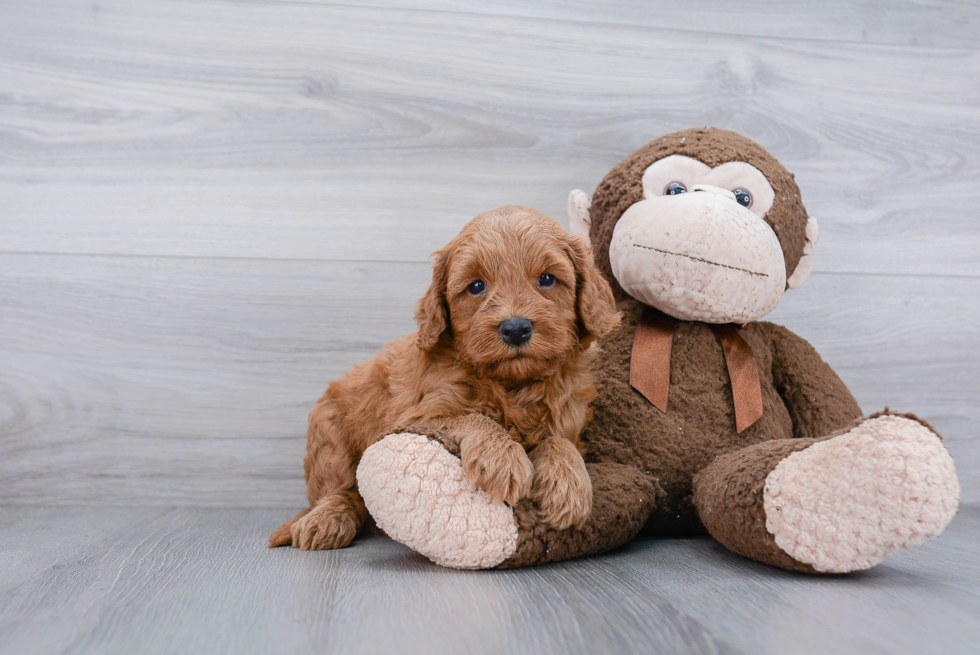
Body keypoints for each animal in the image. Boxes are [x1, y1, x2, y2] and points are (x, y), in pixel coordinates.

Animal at [268, 208, 620, 552]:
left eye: (546, 279)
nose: (516, 328)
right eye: (476, 286)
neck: (509, 384)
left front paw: (569, 487)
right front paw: (502, 460)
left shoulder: (569, 418)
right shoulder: (416, 417)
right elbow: (474, 418)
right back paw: (326, 520)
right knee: (340, 489)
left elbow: (560, 441)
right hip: (329, 434)